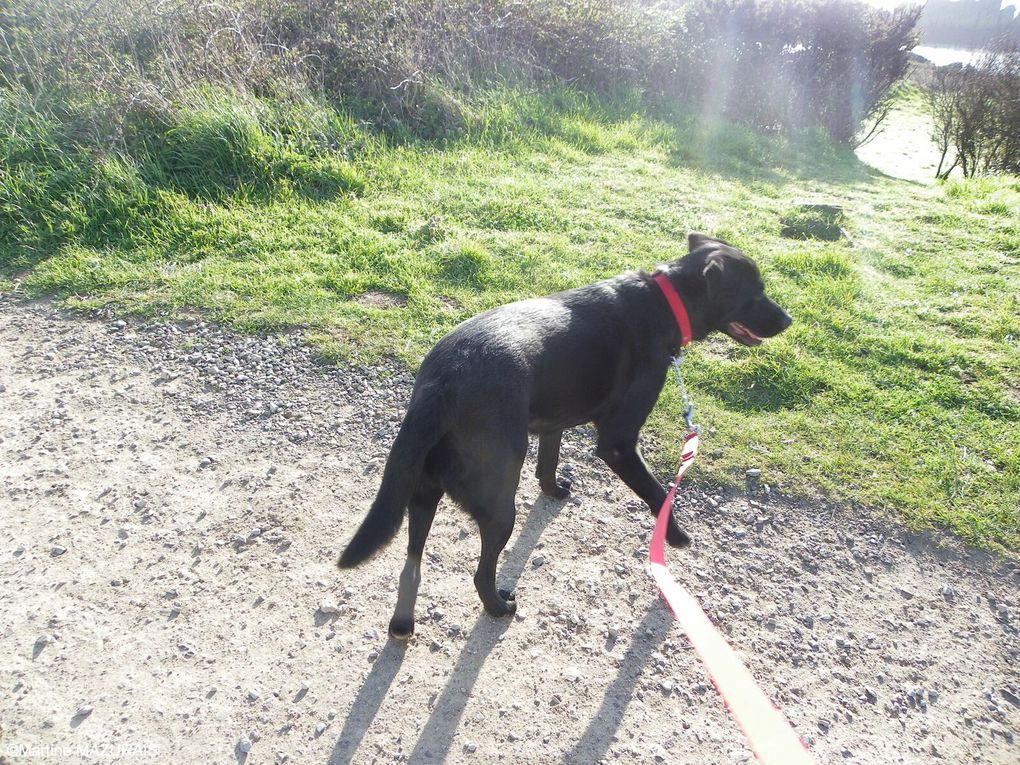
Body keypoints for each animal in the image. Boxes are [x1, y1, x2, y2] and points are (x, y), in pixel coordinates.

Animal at [338, 233, 791, 640]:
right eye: (756, 294)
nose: (788, 321)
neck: (663, 300)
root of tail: (441, 385)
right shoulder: (618, 444)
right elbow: (659, 494)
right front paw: (675, 536)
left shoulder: (553, 422)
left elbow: (548, 462)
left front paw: (554, 489)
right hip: (498, 504)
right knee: (480, 573)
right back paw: (499, 606)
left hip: (422, 495)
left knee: (411, 565)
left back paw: (402, 624)